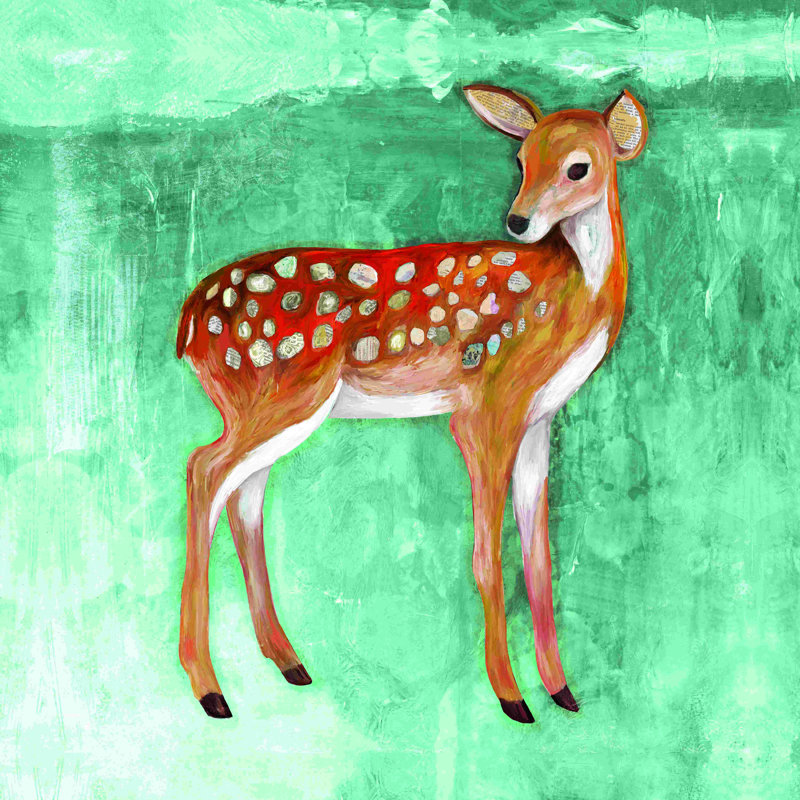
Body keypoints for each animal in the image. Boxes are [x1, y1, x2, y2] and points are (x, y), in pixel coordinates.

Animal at [175, 83, 648, 724]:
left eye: (579, 167)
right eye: (520, 160)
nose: (518, 221)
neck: (575, 296)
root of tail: (188, 321)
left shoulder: (540, 417)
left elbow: (539, 554)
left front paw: (562, 691)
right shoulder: (487, 405)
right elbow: (486, 557)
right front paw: (512, 698)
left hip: (268, 409)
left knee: (243, 495)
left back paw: (287, 663)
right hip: (282, 397)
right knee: (204, 470)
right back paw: (211, 690)